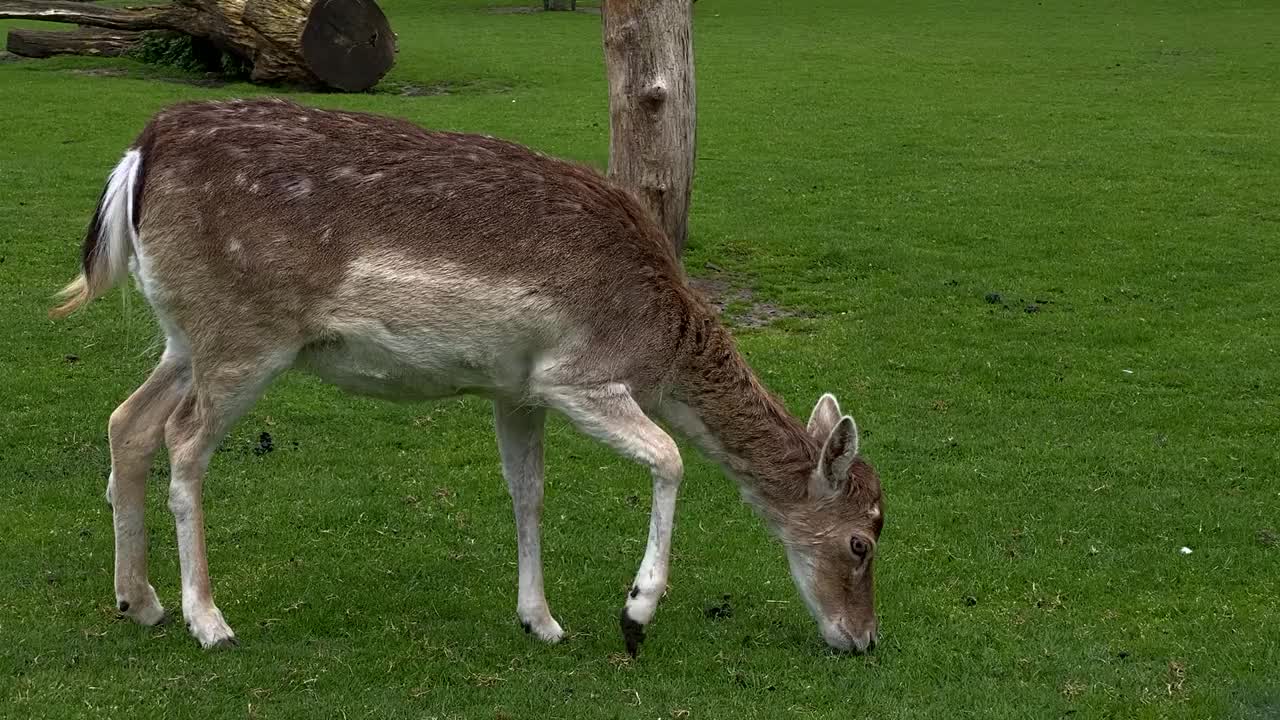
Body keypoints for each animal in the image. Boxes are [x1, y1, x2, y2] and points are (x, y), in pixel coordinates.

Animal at [52, 96, 890, 655]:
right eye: (862, 542)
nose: (863, 639)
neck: (662, 338)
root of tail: (137, 157)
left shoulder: (516, 391)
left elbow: (528, 490)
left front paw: (541, 619)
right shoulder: (577, 375)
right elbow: (672, 458)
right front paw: (634, 614)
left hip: (184, 336)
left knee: (127, 421)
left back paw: (139, 600)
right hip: (243, 338)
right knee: (184, 441)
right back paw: (207, 619)